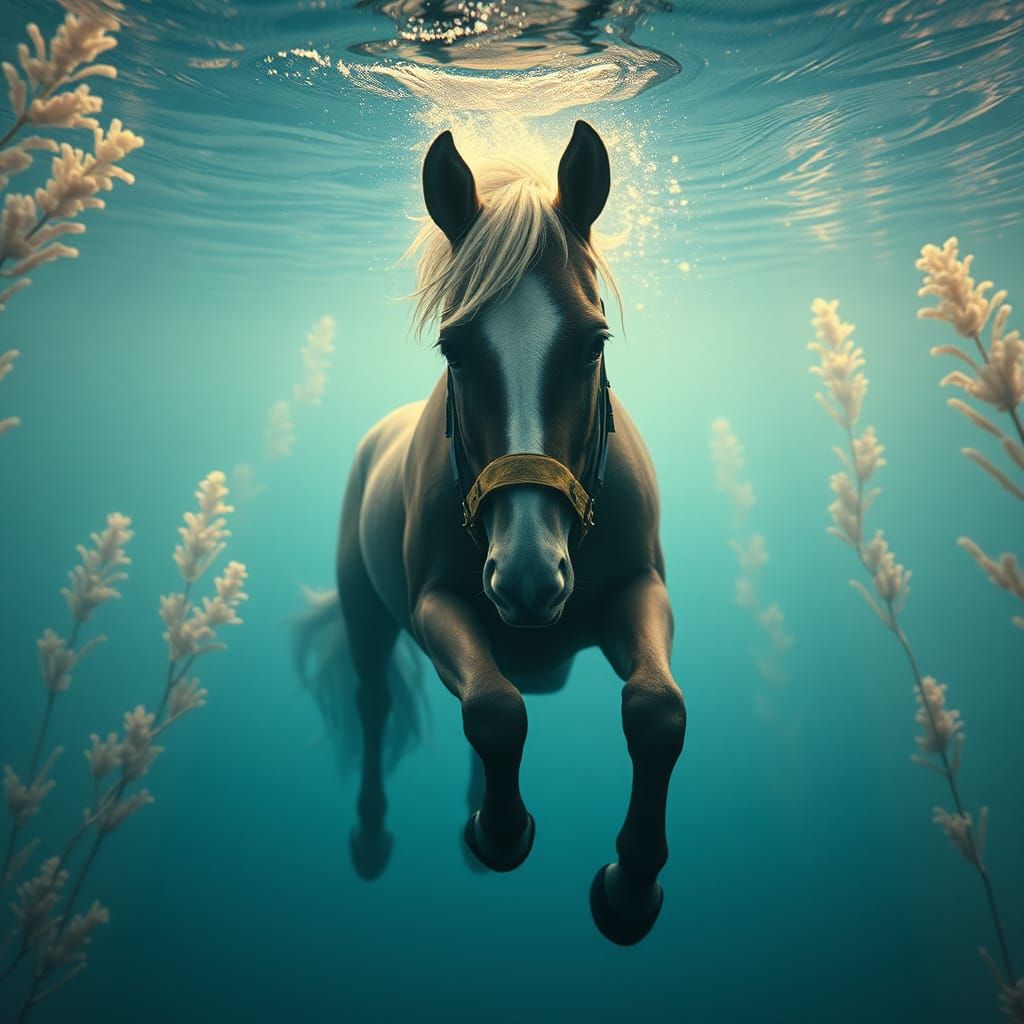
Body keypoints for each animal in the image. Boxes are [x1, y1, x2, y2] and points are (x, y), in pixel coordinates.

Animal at [308, 121, 686, 945]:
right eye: (454, 348)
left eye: (592, 342)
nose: (527, 576)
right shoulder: (435, 604)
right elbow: (494, 710)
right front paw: (502, 832)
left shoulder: (639, 590)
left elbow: (656, 712)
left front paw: (630, 889)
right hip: (365, 613)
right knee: (378, 702)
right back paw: (374, 839)